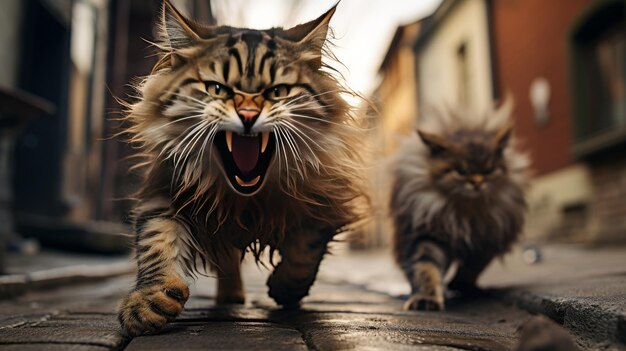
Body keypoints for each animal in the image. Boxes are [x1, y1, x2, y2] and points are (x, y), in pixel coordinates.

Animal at [116, 0, 366, 336]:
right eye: (217, 88)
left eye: (277, 92)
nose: (248, 114)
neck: (245, 198)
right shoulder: (166, 190)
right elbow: (156, 244)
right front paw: (149, 304)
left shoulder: (324, 197)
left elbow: (305, 249)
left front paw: (285, 289)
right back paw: (231, 297)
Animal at [390, 101, 528, 310]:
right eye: (461, 171)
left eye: (489, 170)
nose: (477, 182)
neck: (466, 213)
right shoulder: (427, 234)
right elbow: (425, 268)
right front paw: (426, 298)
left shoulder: (488, 237)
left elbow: (471, 268)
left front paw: (460, 286)